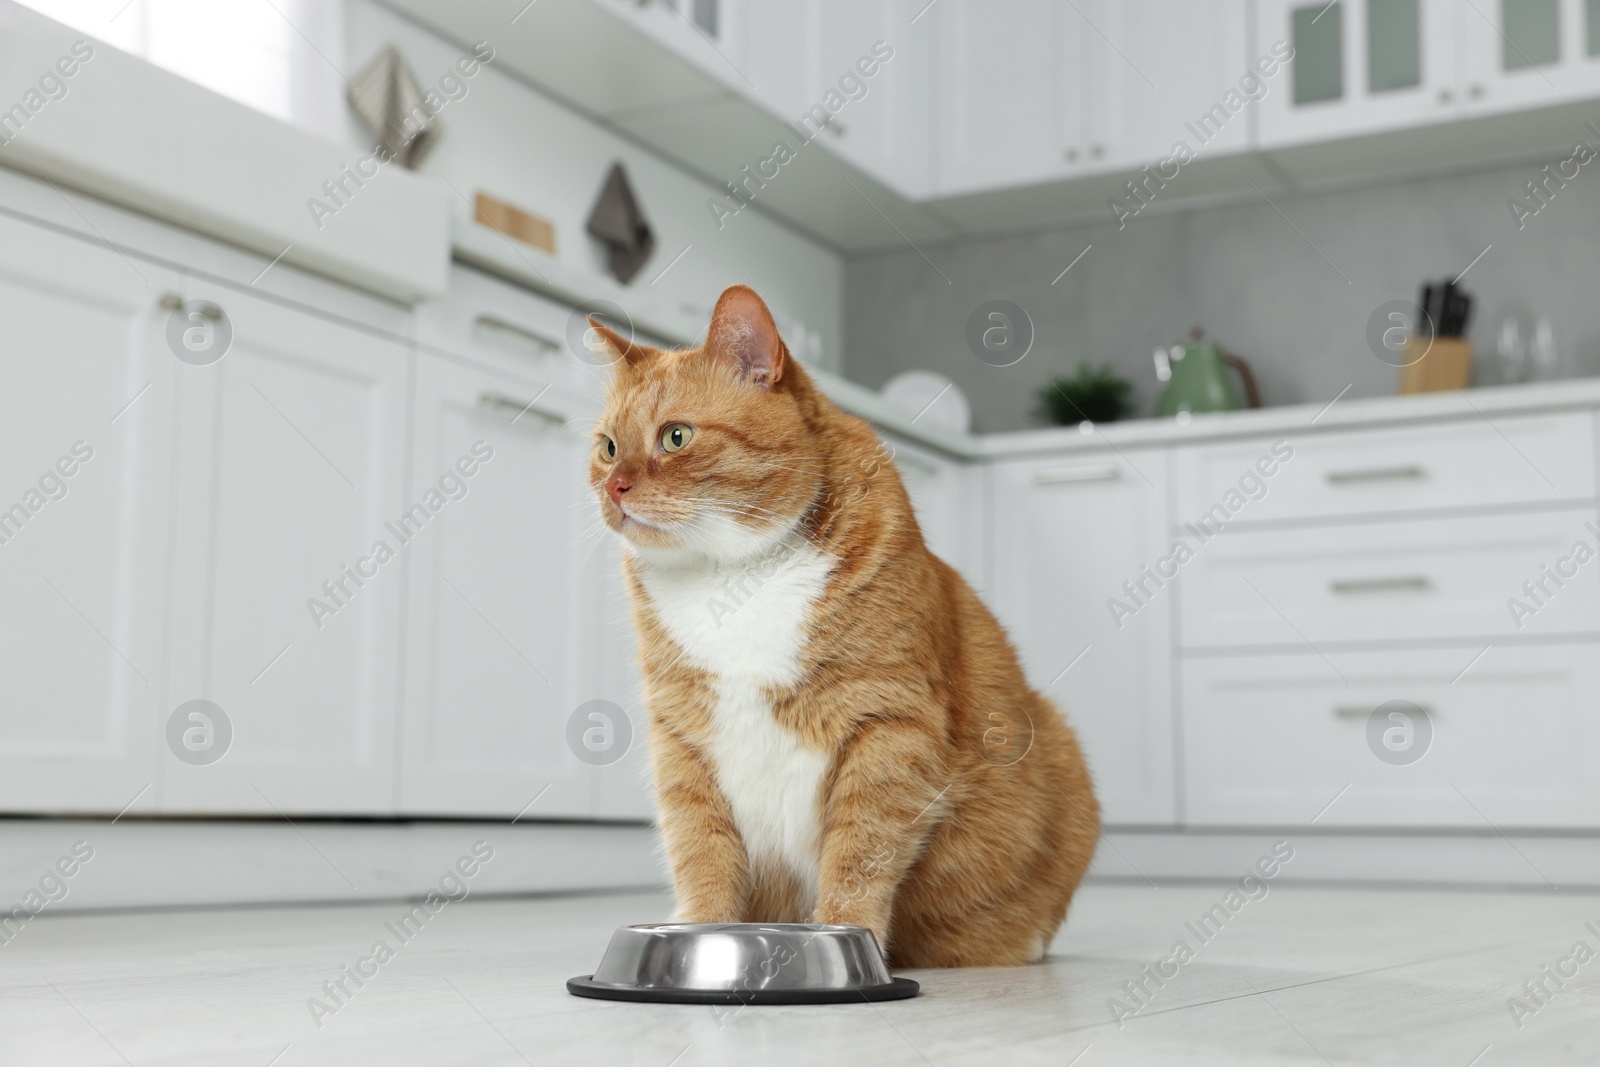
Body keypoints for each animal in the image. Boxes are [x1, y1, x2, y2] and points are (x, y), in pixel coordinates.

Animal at [588, 283, 1100, 966]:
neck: (731, 575)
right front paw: (698, 934)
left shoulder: (890, 725)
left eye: (675, 436)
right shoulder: (682, 740)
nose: (614, 488)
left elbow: (861, 854)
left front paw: (845, 933)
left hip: (1059, 741)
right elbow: (701, 853)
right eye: (607, 447)